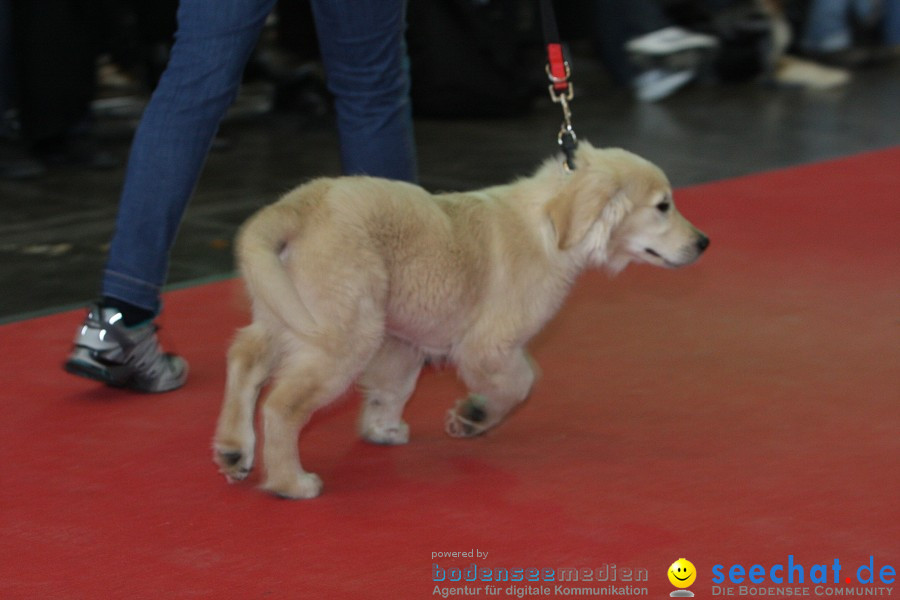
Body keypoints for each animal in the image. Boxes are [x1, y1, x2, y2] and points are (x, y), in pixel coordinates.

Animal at [213, 143, 712, 500]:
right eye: (663, 206)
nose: (704, 242)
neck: (550, 227)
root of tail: (303, 202)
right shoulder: (488, 346)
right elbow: (520, 382)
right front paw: (474, 416)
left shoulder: (403, 337)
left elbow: (394, 387)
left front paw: (382, 429)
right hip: (343, 333)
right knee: (281, 405)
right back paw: (290, 483)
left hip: (288, 310)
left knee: (245, 355)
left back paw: (234, 448)